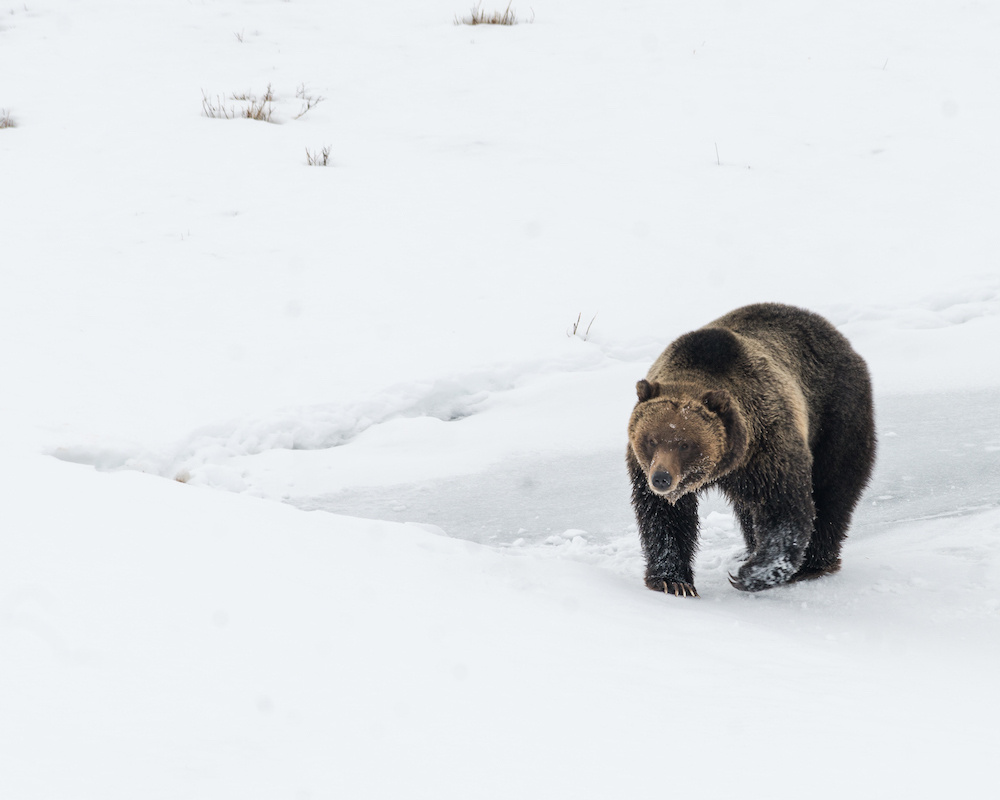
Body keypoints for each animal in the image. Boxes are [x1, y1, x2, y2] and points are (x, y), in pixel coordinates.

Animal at [628, 304, 872, 592]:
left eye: (685, 444)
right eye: (651, 440)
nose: (661, 478)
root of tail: (837, 335)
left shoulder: (768, 444)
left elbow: (784, 507)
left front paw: (750, 574)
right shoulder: (644, 468)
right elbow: (665, 517)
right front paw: (672, 581)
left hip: (835, 415)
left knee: (832, 489)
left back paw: (812, 564)